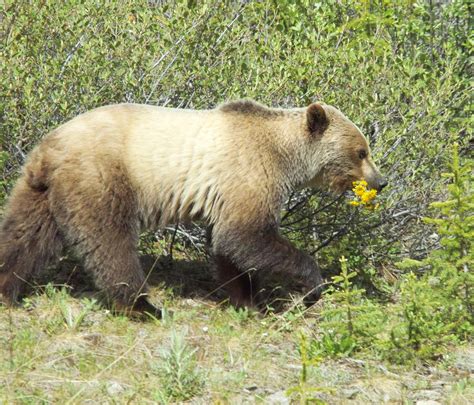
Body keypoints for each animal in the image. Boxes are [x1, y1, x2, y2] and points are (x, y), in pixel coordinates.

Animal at [0, 99, 386, 314]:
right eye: (361, 151)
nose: (380, 182)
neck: (285, 154)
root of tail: (49, 147)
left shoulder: (226, 193)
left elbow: (228, 246)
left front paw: (248, 301)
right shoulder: (250, 172)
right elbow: (246, 236)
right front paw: (311, 288)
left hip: (42, 191)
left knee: (24, 235)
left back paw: (6, 288)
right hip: (101, 176)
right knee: (109, 242)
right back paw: (142, 305)